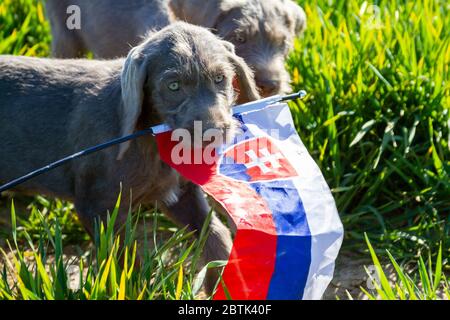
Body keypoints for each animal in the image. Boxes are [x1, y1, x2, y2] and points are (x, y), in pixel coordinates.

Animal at [0, 21, 260, 292]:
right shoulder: (97, 204)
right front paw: (132, 288)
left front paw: (223, 285)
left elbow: (215, 232)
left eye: (220, 79)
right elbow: (125, 258)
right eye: (173, 86)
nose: (214, 132)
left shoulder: (179, 192)